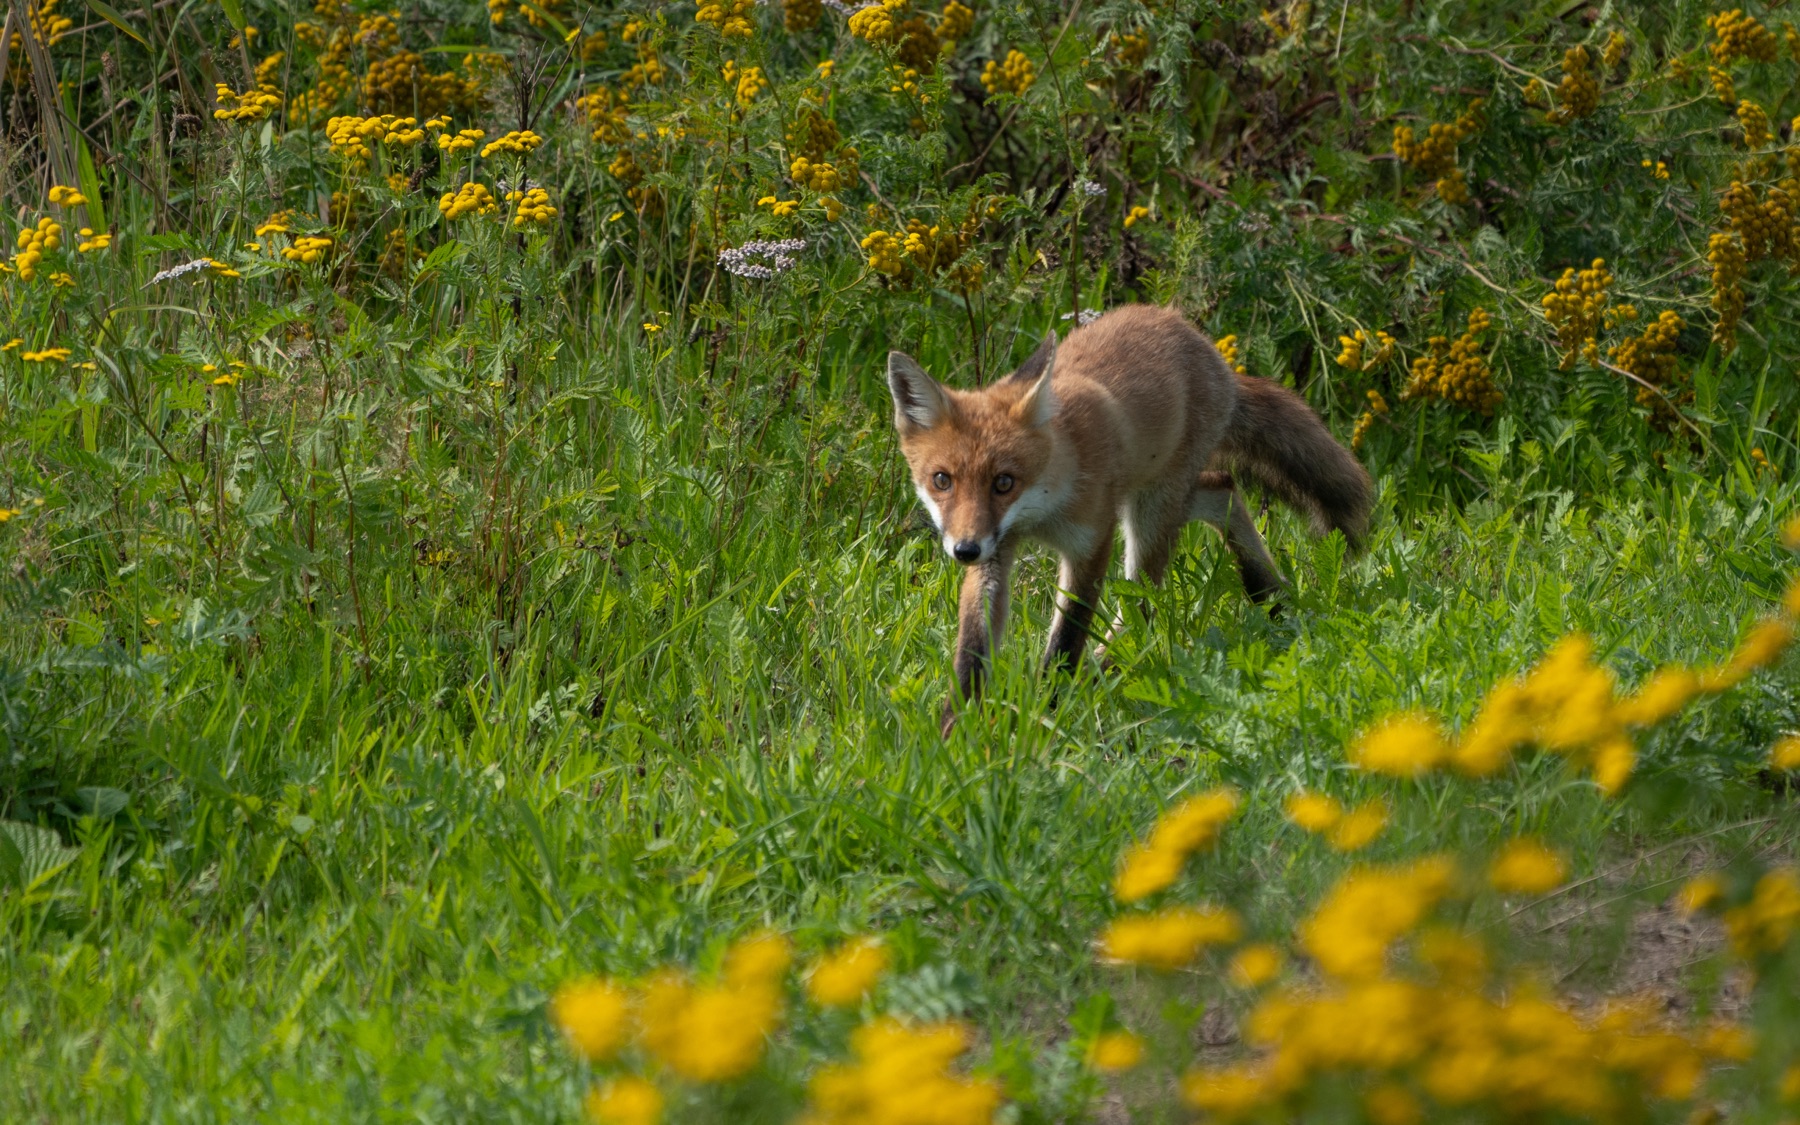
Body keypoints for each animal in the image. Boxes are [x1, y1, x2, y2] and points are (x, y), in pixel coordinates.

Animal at [886, 304, 1372, 735]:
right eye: (942, 480)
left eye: (1004, 482)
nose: (964, 550)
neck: (1043, 510)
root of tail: (1195, 337)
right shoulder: (996, 549)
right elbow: (972, 649)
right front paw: (955, 731)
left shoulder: (1090, 543)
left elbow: (1066, 640)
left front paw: (1045, 712)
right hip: (1165, 497)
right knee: (1222, 489)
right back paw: (1267, 590)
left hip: (1150, 511)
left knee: (1143, 602)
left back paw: (1101, 675)